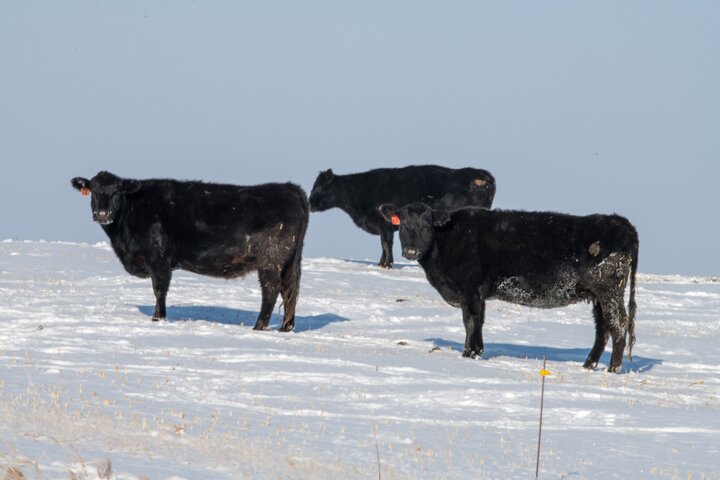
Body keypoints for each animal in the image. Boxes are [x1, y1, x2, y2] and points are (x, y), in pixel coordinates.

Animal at [71, 172, 308, 334]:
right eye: (93, 190)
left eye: (117, 192)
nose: (103, 214)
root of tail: (290, 188)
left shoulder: (158, 259)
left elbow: (159, 290)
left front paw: (158, 319)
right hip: (290, 260)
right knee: (290, 290)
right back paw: (285, 328)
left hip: (271, 258)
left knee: (271, 289)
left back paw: (258, 327)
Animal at [310, 165, 496, 268]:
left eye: (319, 188)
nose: (310, 203)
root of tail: (483, 175)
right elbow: (383, 245)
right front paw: (381, 264)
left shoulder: (384, 226)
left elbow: (386, 244)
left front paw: (387, 264)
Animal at [376, 201, 640, 374]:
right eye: (403, 224)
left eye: (427, 224)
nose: (411, 251)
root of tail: (618, 220)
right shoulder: (478, 294)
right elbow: (479, 322)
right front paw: (477, 352)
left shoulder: (469, 289)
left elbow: (470, 320)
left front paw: (467, 353)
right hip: (597, 294)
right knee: (602, 327)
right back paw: (588, 365)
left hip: (609, 289)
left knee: (618, 323)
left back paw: (613, 368)